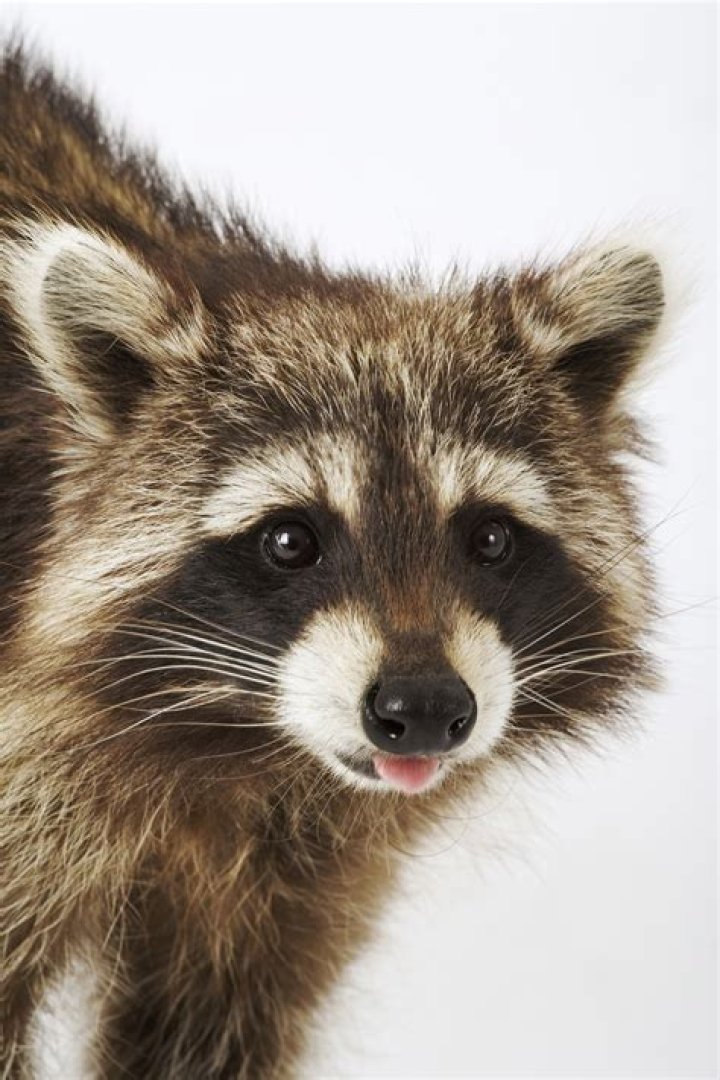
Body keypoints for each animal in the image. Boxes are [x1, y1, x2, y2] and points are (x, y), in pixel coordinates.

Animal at [0, 42, 665, 1080]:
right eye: (290, 541)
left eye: (488, 538)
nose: (424, 709)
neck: (243, 752)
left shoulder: (292, 879)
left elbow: (210, 1027)